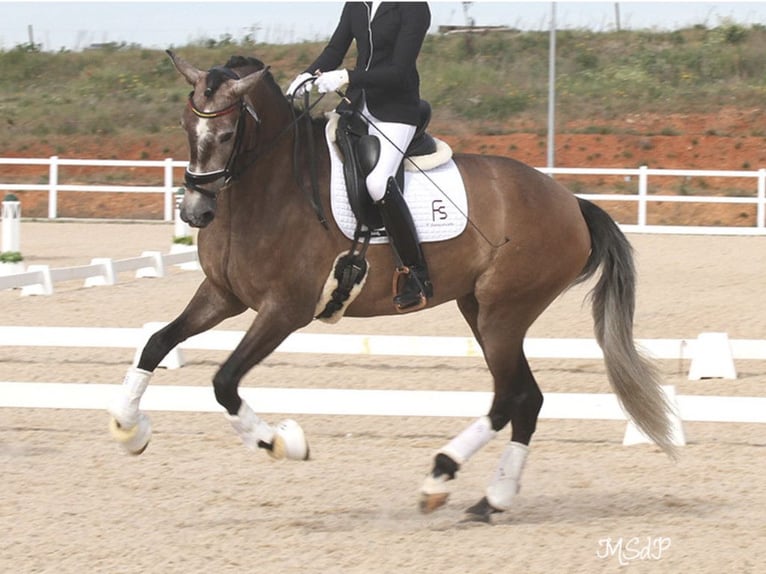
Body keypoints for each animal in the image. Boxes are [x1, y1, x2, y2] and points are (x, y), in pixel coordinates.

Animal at [108, 51, 680, 524]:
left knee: (512, 397)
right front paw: (129, 430)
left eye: (228, 135)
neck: (268, 190)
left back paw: (444, 477)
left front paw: (280, 442)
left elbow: (224, 381)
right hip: (479, 309)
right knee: (526, 399)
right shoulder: (221, 296)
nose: (195, 212)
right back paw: (487, 498)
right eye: (186, 126)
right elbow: (156, 343)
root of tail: (569, 201)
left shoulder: (285, 310)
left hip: (504, 312)